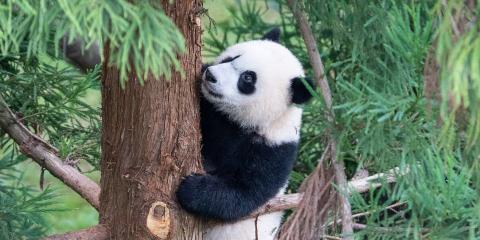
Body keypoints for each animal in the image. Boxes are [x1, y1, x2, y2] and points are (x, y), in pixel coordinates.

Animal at [176, 28, 312, 240]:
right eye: (232, 57)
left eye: (247, 78)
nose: (210, 75)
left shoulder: (273, 149)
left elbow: (245, 192)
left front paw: (191, 189)